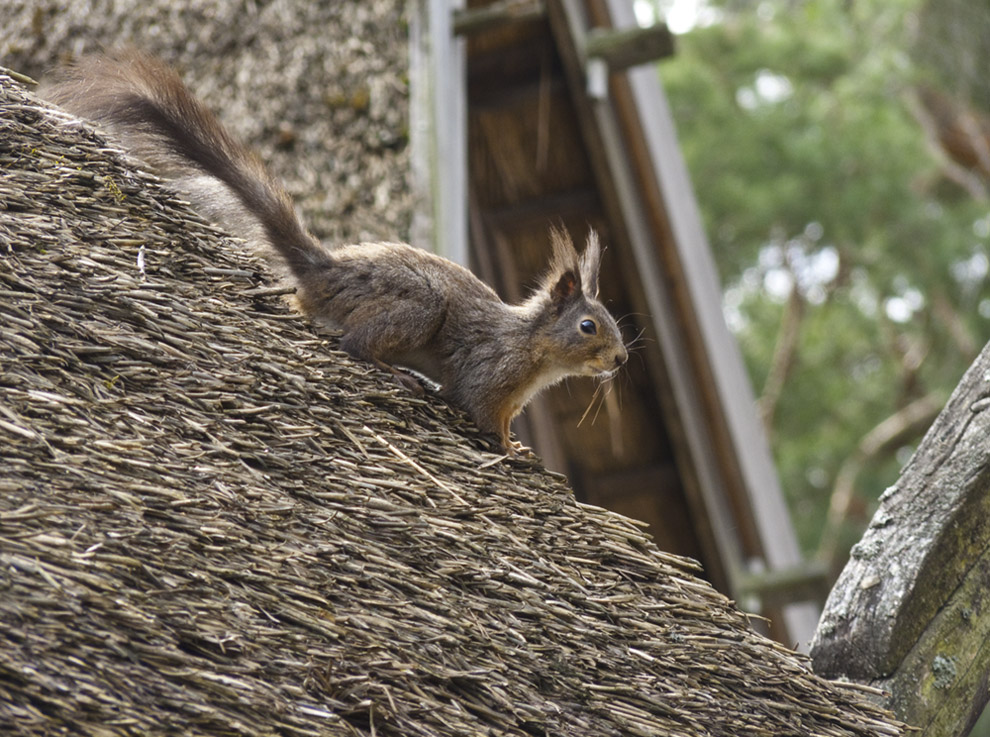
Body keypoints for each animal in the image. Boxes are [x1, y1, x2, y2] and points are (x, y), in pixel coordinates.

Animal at [46, 51, 628, 452]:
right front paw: (510, 451)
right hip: (416, 308)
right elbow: (481, 413)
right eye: (588, 326)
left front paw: (518, 446)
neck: (533, 349)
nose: (621, 359)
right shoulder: (489, 376)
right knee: (353, 344)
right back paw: (394, 372)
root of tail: (324, 272)